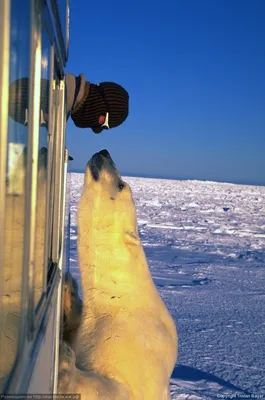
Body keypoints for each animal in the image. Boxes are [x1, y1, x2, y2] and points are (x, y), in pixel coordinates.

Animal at [58, 151, 176, 400]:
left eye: (121, 184)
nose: (104, 152)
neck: (119, 298)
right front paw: (68, 291)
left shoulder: (134, 346)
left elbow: (115, 387)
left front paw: (65, 363)